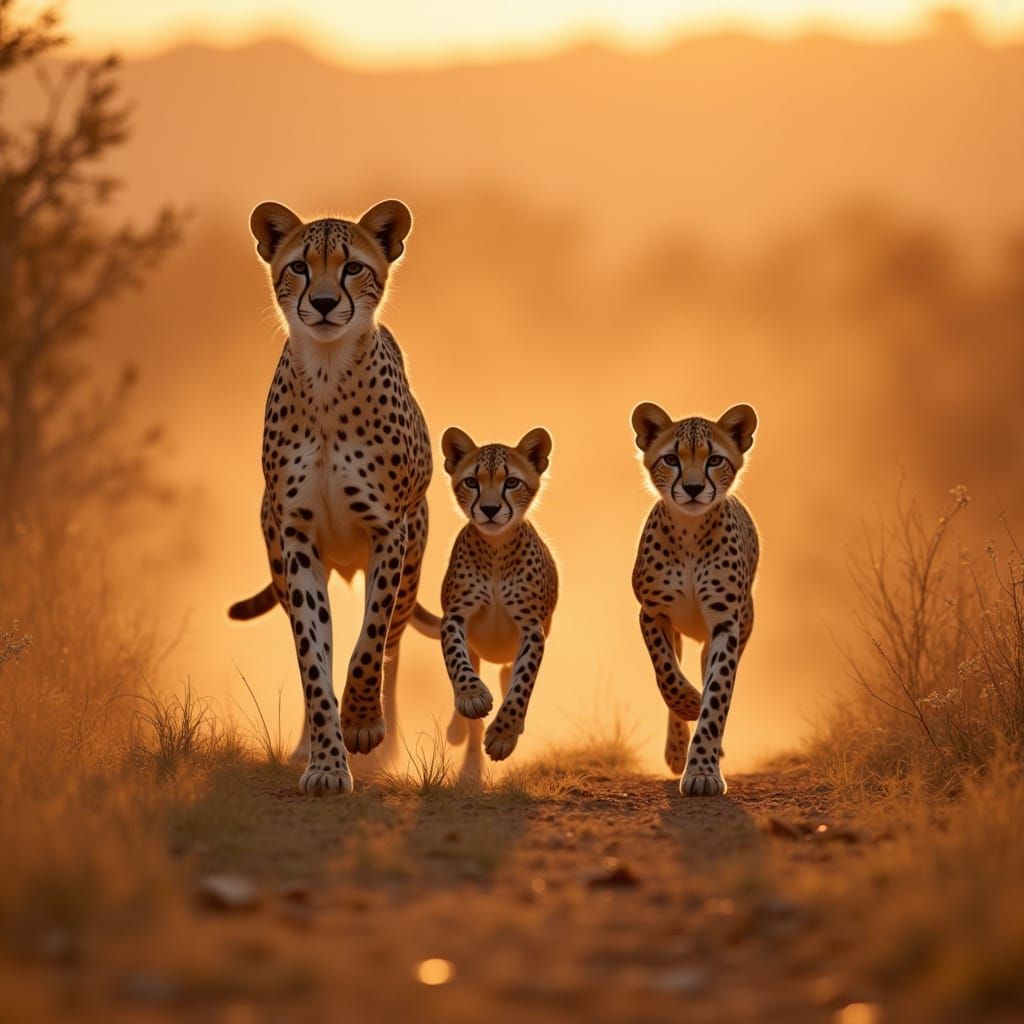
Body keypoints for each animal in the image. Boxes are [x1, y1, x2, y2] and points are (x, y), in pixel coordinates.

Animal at [228, 198, 442, 795]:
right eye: (300, 266)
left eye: (353, 268)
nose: (323, 303)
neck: (326, 374)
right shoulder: (298, 541)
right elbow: (312, 657)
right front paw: (325, 760)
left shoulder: (387, 532)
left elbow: (369, 642)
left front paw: (363, 724)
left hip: (412, 562)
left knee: (393, 642)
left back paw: (380, 739)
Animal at [438, 427, 558, 777]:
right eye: (471, 482)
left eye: (512, 482)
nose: (490, 509)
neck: (495, 548)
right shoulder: (454, 616)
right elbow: (456, 657)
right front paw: (471, 695)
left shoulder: (532, 628)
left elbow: (522, 681)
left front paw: (504, 734)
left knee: (507, 673)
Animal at [630, 402, 759, 797]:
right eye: (671, 459)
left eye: (714, 460)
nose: (692, 487)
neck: (689, 532)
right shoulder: (652, 613)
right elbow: (667, 675)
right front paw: (689, 703)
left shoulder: (725, 623)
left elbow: (717, 694)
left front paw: (703, 769)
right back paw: (677, 746)